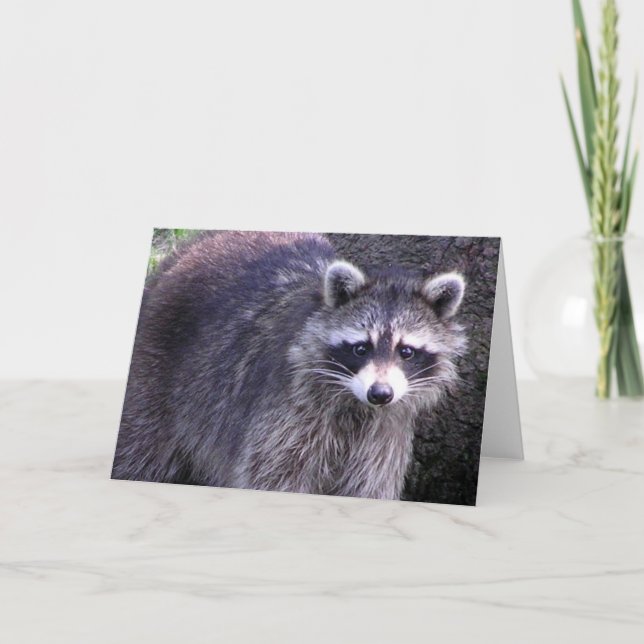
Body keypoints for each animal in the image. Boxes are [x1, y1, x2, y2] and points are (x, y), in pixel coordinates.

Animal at [112, 231, 467, 500]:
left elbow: (369, 487)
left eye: (406, 351)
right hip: (153, 374)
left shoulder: (384, 433)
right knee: (137, 450)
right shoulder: (288, 415)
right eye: (360, 348)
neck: (356, 406)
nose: (380, 393)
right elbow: (273, 477)